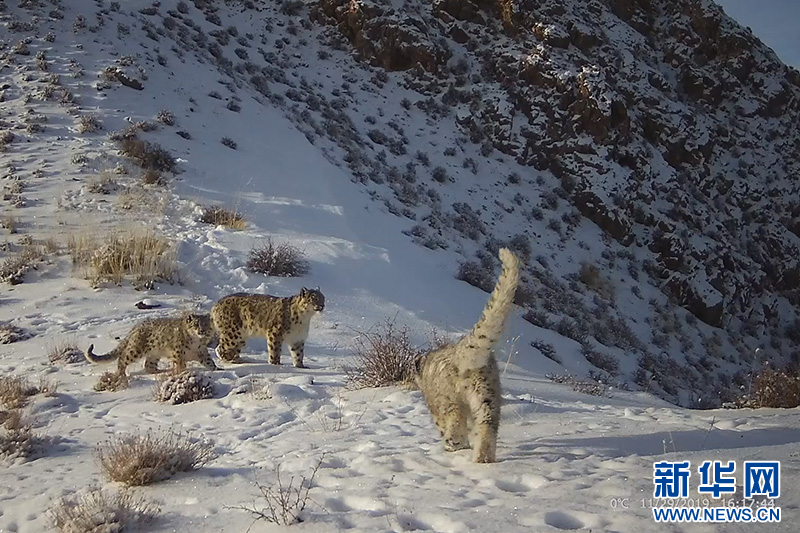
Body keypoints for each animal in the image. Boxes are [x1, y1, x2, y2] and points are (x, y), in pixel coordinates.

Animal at [85, 312, 219, 376]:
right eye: (196, 324)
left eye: (206, 324)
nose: (202, 331)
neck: (196, 342)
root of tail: (136, 327)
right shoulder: (178, 353)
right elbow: (181, 365)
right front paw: (182, 372)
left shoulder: (202, 352)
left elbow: (210, 362)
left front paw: (218, 369)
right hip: (135, 350)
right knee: (122, 358)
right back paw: (121, 375)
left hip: (154, 354)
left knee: (148, 365)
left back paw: (160, 371)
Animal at [414, 248, 520, 463]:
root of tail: (460, 355)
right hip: (487, 396)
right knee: (487, 426)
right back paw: (483, 460)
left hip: (450, 397)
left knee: (455, 416)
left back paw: (454, 442)